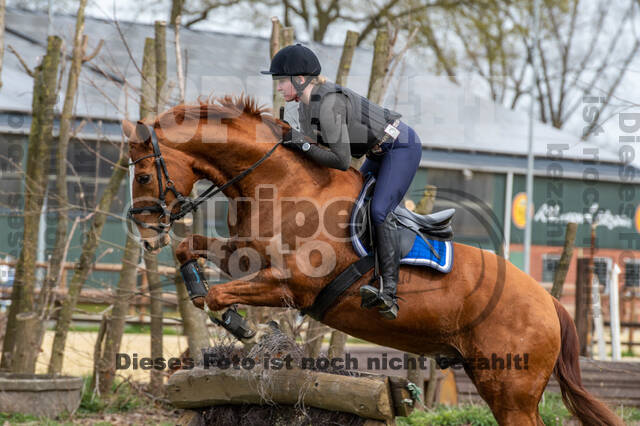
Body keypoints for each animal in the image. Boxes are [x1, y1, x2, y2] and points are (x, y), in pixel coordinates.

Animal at [122, 96, 624, 426]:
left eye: (143, 175)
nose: (146, 236)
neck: (280, 184)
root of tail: (549, 303)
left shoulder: (292, 284)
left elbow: (221, 295)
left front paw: (238, 323)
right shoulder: (247, 256)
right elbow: (191, 250)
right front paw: (215, 305)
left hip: (512, 390)